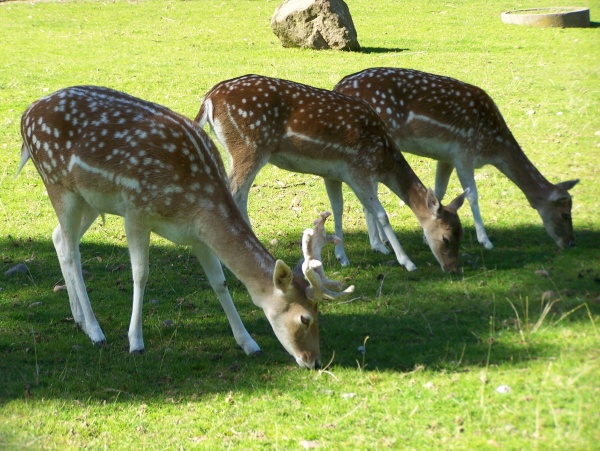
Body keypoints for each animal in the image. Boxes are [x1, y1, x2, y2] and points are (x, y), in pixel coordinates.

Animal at [18, 85, 354, 370]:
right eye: (305, 318)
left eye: (319, 314)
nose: (314, 361)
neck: (195, 200)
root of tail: (26, 115)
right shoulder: (136, 209)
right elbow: (140, 275)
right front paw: (135, 342)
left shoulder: (198, 235)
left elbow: (219, 282)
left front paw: (248, 343)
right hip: (58, 184)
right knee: (71, 250)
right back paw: (95, 330)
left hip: (89, 199)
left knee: (60, 238)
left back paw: (78, 318)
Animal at [195, 75, 466, 272]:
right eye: (446, 238)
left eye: (460, 233)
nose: (452, 269)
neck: (383, 159)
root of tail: (209, 99)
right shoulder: (359, 169)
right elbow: (381, 213)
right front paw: (407, 262)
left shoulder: (333, 173)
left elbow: (337, 208)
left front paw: (342, 257)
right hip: (248, 147)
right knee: (234, 193)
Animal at [336, 68, 580, 251]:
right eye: (565, 214)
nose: (570, 243)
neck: (493, 145)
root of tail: (339, 86)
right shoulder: (465, 151)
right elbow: (472, 195)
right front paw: (485, 241)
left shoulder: (447, 157)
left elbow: (439, 192)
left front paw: (427, 236)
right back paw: (379, 244)